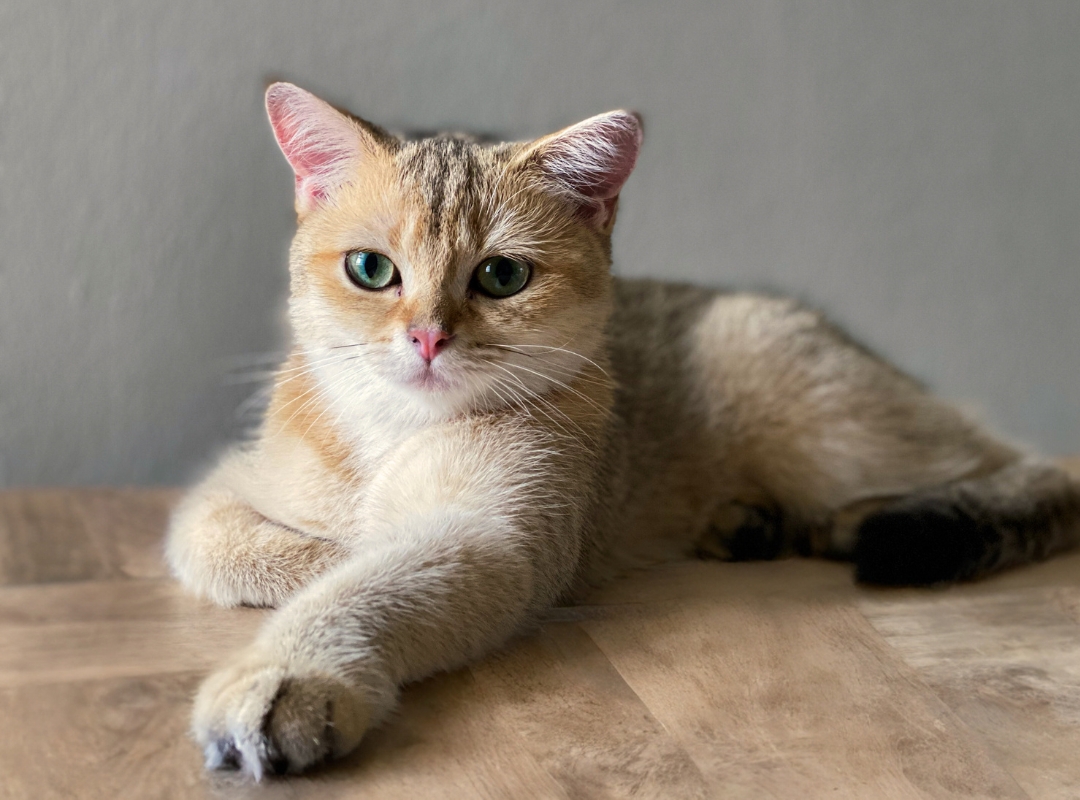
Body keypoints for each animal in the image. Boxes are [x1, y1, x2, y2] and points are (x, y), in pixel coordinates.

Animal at [164, 82, 1080, 781]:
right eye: (370, 269)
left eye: (503, 276)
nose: (427, 338)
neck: (397, 432)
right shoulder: (222, 494)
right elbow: (244, 546)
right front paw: (330, 554)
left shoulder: (495, 538)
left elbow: (373, 579)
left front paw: (288, 675)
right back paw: (755, 525)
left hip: (824, 419)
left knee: (1025, 466)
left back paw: (863, 521)